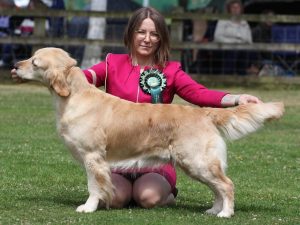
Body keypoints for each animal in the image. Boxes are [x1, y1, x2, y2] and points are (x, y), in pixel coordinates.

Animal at [14, 48, 284, 218]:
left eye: (35, 62)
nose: (15, 65)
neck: (73, 97)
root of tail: (204, 113)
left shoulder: (93, 157)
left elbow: (94, 186)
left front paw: (88, 208)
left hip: (197, 161)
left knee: (226, 185)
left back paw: (226, 213)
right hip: (196, 164)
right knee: (218, 187)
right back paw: (214, 210)